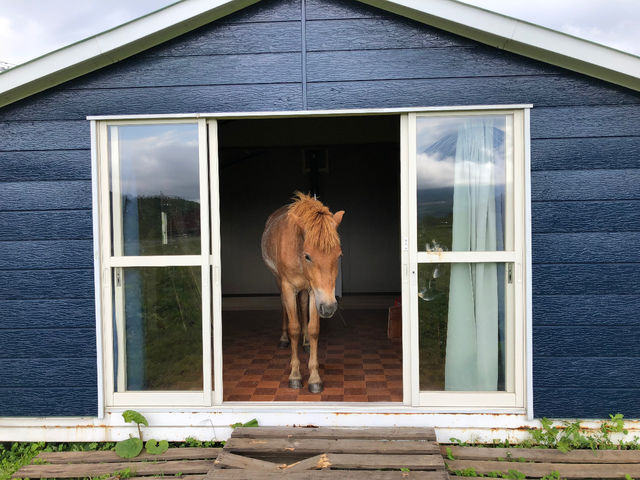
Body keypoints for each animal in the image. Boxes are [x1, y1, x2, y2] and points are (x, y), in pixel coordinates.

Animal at [261, 192, 344, 393]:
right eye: (307, 256)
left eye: (338, 255)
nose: (329, 308)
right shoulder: (288, 287)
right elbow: (294, 328)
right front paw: (295, 375)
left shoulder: (316, 292)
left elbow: (313, 329)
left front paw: (314, 377)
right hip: (279, 282)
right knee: (284, 306)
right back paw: (283, 339)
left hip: (308, 291)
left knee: (303, 305)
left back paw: (305, 343)